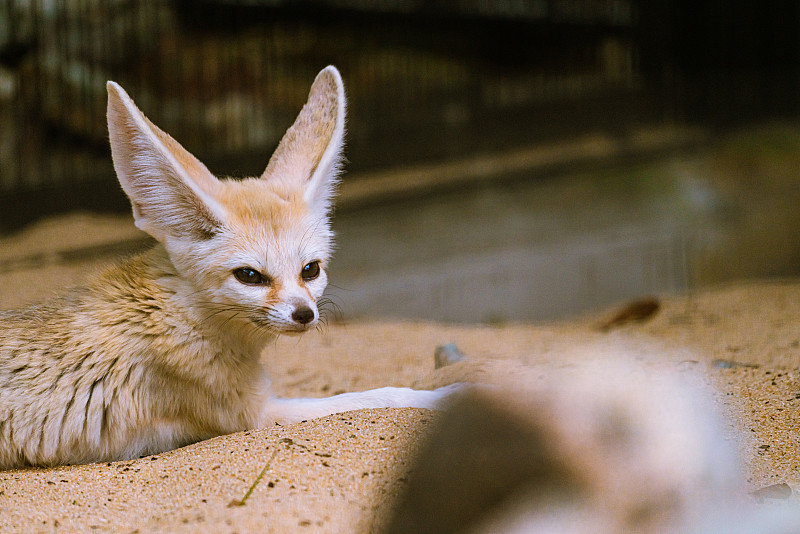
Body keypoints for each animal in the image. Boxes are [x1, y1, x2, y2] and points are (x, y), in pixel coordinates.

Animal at [0, 66, 450, 468]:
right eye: (249, 276)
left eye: (310, 270)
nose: (305, 314)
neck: (176, 311)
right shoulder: (253, 415)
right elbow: (381, 396)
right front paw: (444, 396)